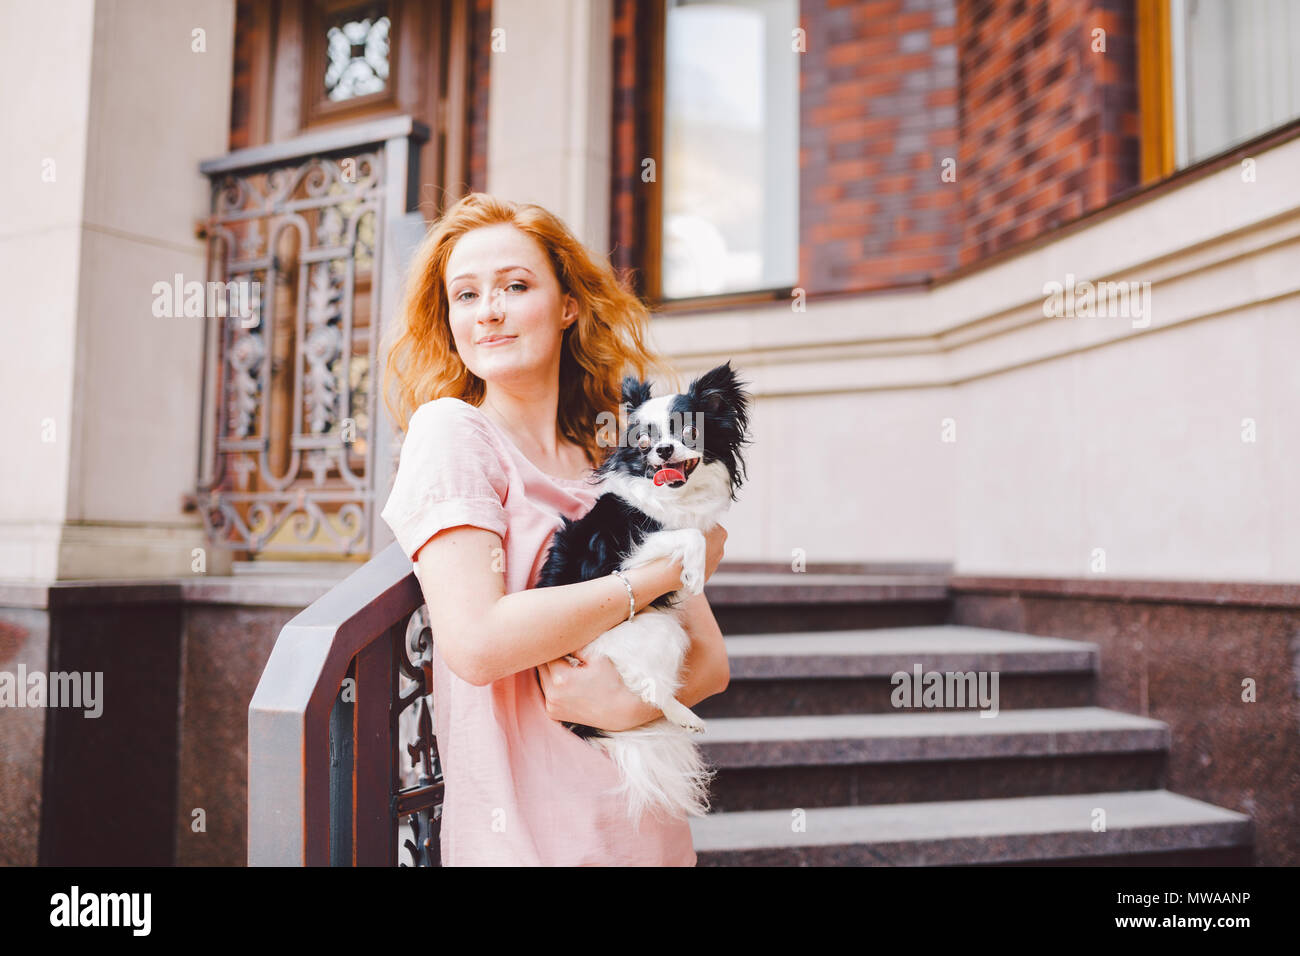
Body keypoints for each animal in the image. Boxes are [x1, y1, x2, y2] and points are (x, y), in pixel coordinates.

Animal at [533, 361, 754, 827]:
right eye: (644, 441)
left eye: (688, 431)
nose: (664, 452)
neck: (677, 498)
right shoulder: (630, 556)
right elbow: (690, 535)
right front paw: (694, 573)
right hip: (661, 632)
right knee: (649, 691)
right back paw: (684, 716)